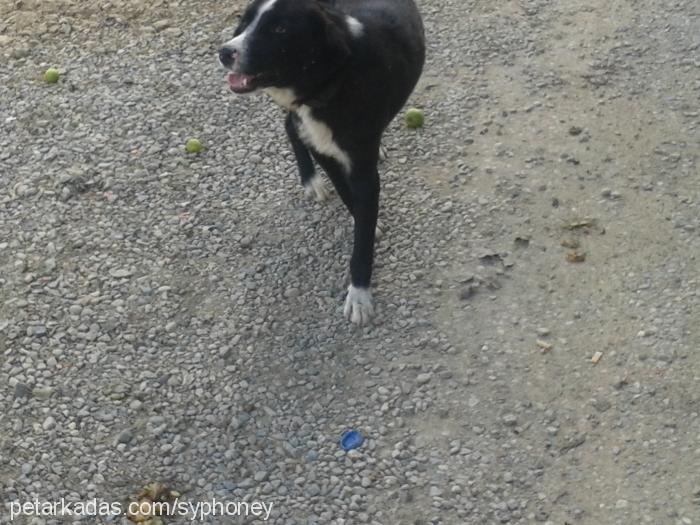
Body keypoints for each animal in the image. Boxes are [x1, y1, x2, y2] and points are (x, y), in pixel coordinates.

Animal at [220, 1, 426, 324]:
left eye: (280, 29)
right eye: (244, 20)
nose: (224, 52)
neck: (334, 83)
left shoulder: (363, 170)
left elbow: (362, 241)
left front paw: (359, 292)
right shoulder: (324, 151)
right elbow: (345, 192)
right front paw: (363, 221)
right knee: (290, 126)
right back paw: (311, 180)